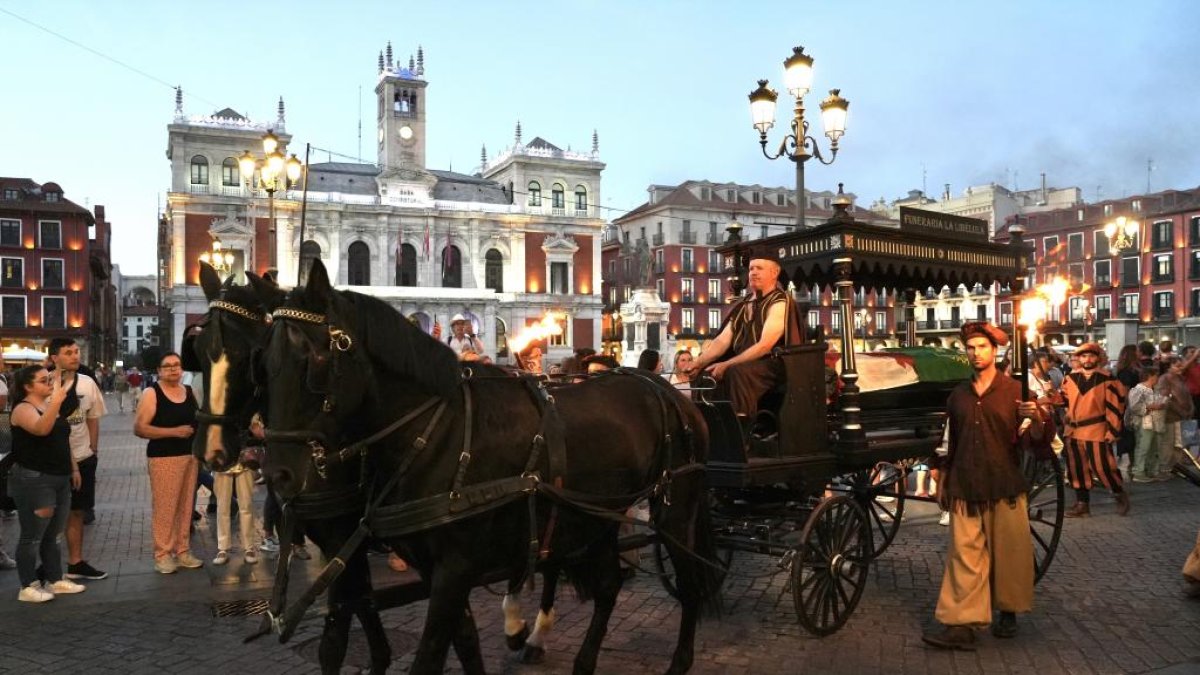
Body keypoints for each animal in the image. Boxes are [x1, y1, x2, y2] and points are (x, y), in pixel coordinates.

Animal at [258, 258, 715, 672]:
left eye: (314, 360)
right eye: (264, 363)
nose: (278, 475)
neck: (436, 431)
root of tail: (669, 391)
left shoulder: (455, 569)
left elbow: (430, 655)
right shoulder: (438, 570)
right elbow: (466, 642)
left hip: (674, 511)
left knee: (690, 585)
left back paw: (679, 660)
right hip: (596, 514)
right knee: (607, 588)